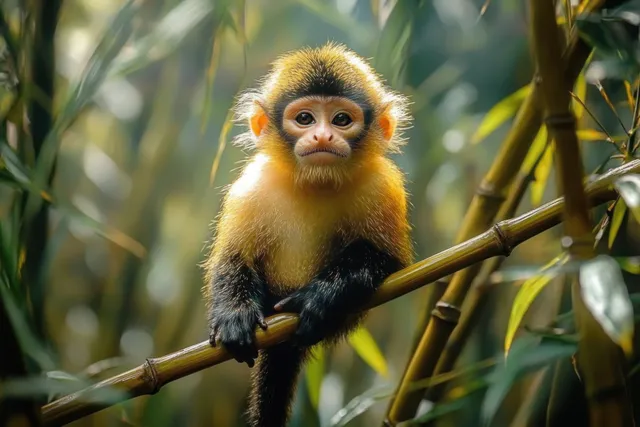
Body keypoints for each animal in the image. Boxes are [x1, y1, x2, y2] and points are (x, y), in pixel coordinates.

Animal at [202, 42, 414, 427]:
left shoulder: (383, 187)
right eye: (305, 119)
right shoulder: (252, 186)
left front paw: (322, 297)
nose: (323, 136)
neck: (317, 183)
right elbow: (232, 259)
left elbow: (387, 261)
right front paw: (234, 316)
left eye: (341, 120)